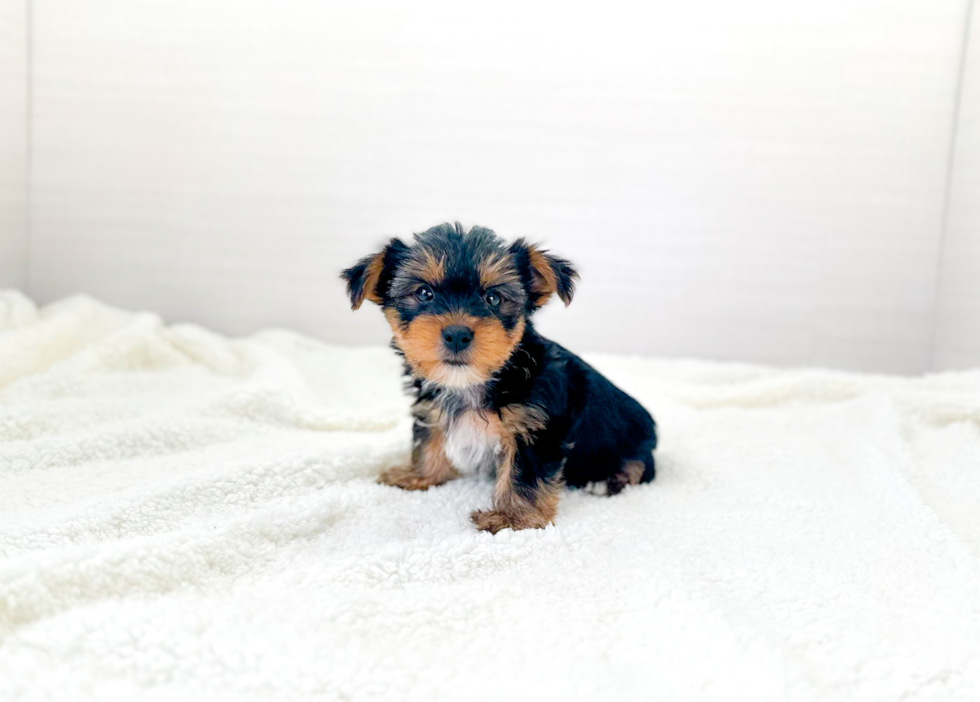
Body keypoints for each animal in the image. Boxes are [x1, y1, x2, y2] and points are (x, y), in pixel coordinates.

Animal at [340, 223, 656, 536]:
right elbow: (428, 438)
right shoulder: (431, 406)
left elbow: (524, 474)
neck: (477, 381)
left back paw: (608, 480)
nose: (457, 334)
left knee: (640, 468)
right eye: (424, 293)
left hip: (636, 444)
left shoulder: (535, 428)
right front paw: (421, 475)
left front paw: (513, 518)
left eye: (492, 298)